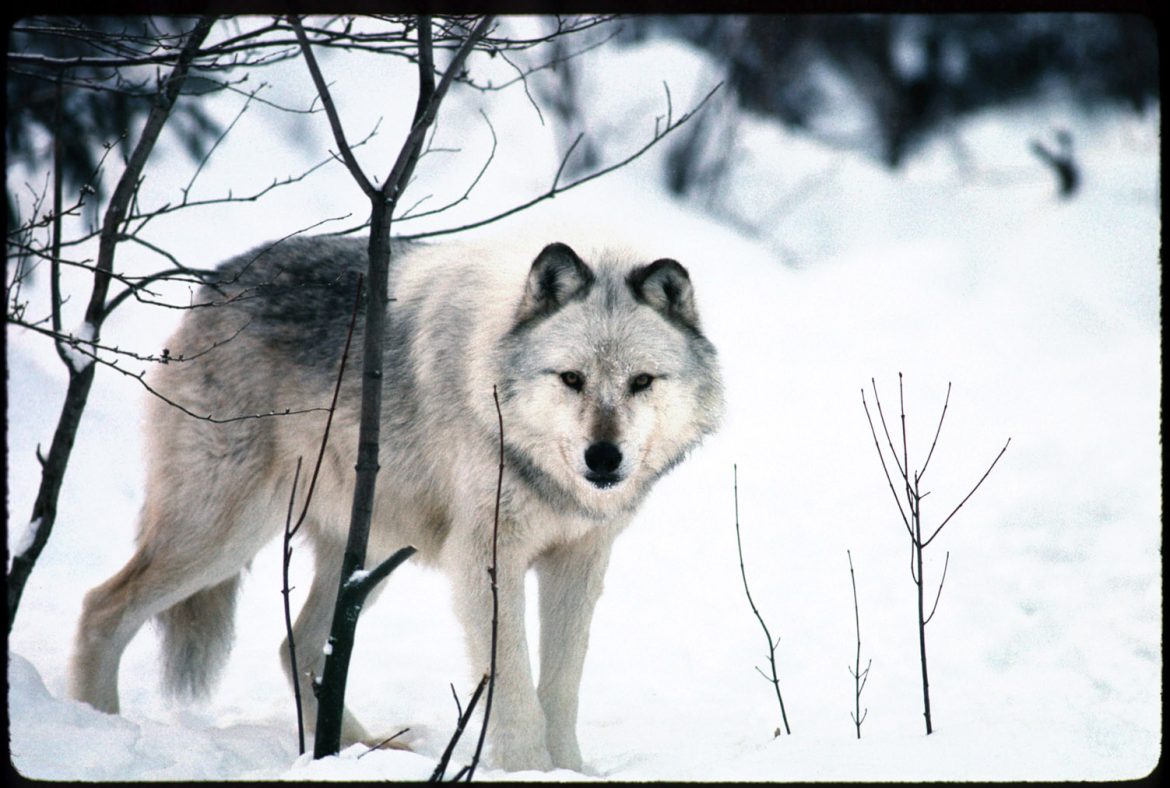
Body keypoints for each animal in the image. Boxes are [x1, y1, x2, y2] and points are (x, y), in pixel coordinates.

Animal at [70, 231, 720, 766]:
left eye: (641, 382)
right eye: (571, 379)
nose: (603, 458)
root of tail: (216, 281)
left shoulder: (579, 562)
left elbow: (560, 687)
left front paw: (569, 771)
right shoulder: (484, 559)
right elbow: (513, 686)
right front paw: (530, 770)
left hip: (367, 554)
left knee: (299, 647)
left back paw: (356, 749)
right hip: (224, 536)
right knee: (103, 607)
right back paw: (95, 725)